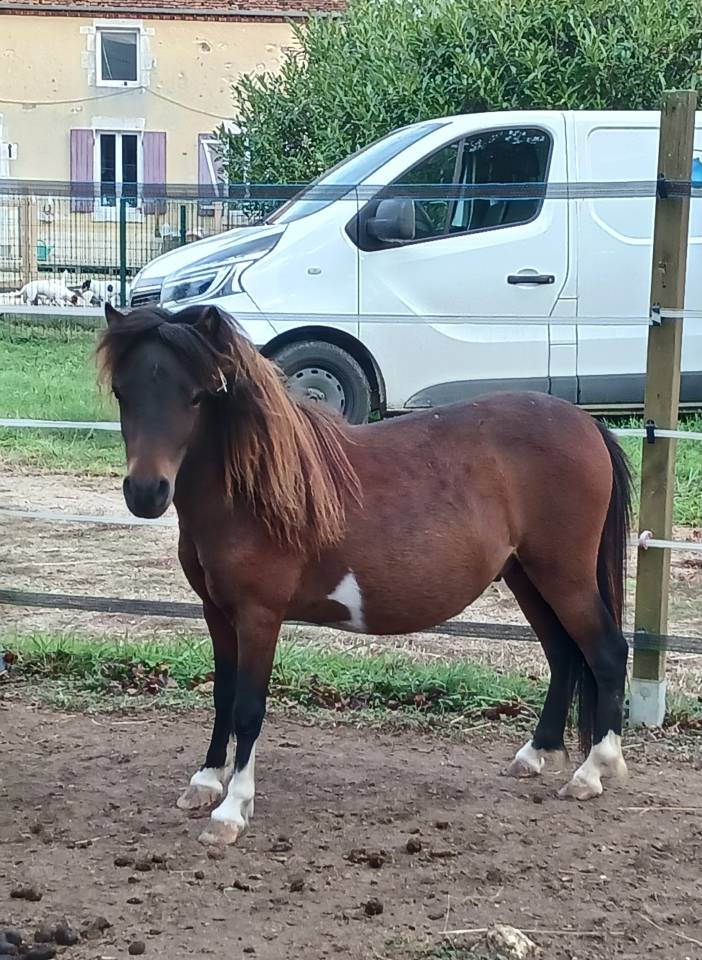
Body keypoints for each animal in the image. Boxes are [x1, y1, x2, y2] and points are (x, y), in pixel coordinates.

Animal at [98, 301, 633, 846]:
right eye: (123, 391)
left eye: (197, 395)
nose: (146, 492)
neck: (256, 490)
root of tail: (587, 425)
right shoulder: (216, 612)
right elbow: (222, 696)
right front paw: (206, 782)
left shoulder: (258, 616)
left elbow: (248, 708)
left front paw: (232, 809)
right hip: (527, 576)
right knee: (563, 655)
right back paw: (536, 754)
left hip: (564, 576)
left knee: (607, 652)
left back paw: (593, 771)